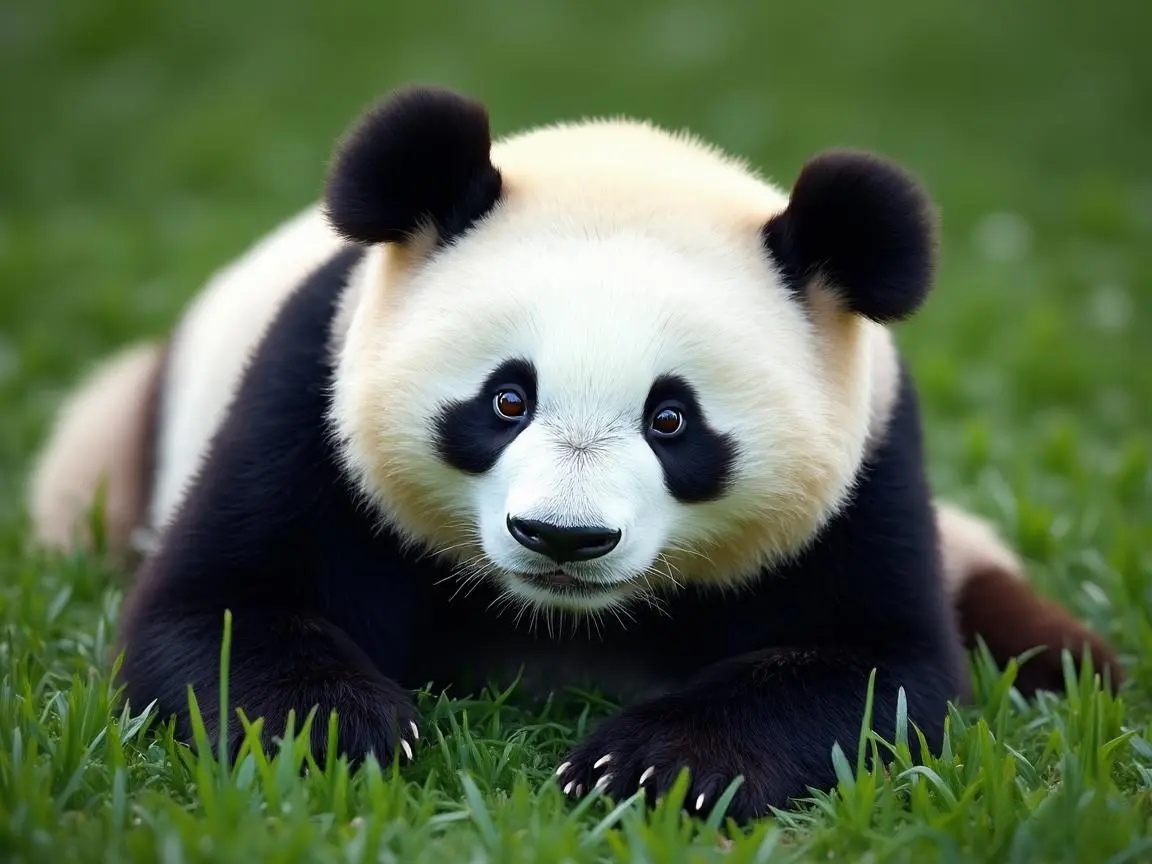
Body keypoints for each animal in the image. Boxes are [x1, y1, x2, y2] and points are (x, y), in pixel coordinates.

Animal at [27, 84, 1122, 822]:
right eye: (507, 400)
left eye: (672, 422)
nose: (562, 537)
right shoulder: (310, 397)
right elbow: (218, 607)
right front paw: (338, 730)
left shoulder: (872, 464)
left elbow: (875, 667)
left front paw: (646, 767)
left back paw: (1068, 662)